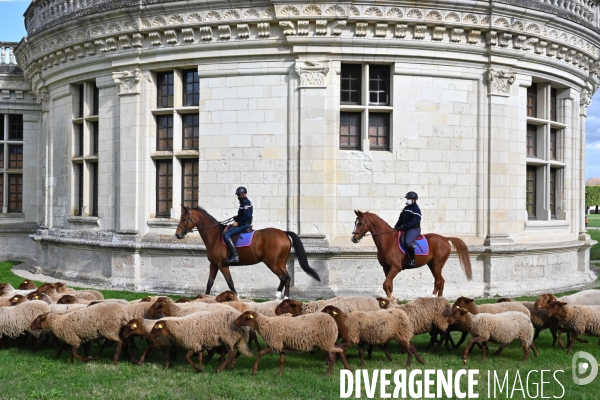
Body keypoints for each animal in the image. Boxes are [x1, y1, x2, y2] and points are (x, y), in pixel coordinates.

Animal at [176, 206, 322, 296]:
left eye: (184, 219)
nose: (177, 235)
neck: (214, 235)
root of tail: (284, 233)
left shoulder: (222, 265)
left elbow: (230, 284)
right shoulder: (214, 264)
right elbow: (209, 284)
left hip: (273, 264)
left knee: (284, 277)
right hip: (280, 263)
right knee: (287, 278)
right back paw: (282, 298)